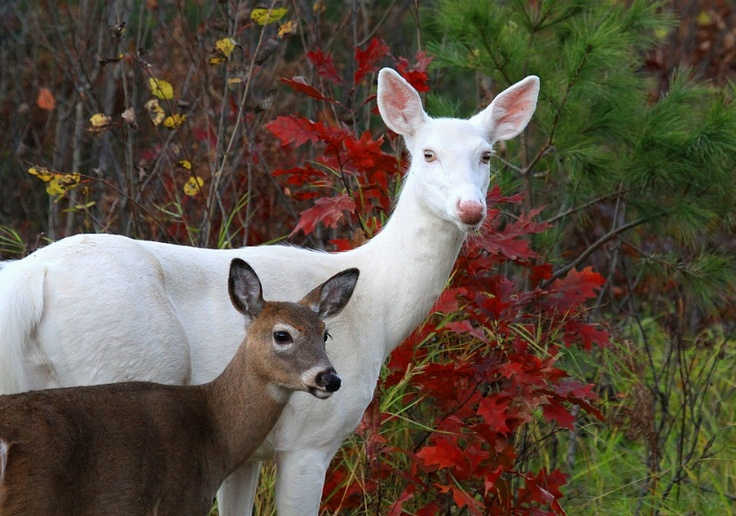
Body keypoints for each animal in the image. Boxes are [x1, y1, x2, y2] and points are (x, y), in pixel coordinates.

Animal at [0, 260, 360, 512]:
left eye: (325, 334)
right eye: (282, 334)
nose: (330, 378)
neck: (213, 431)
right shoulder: (182, 499)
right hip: (34, 499)